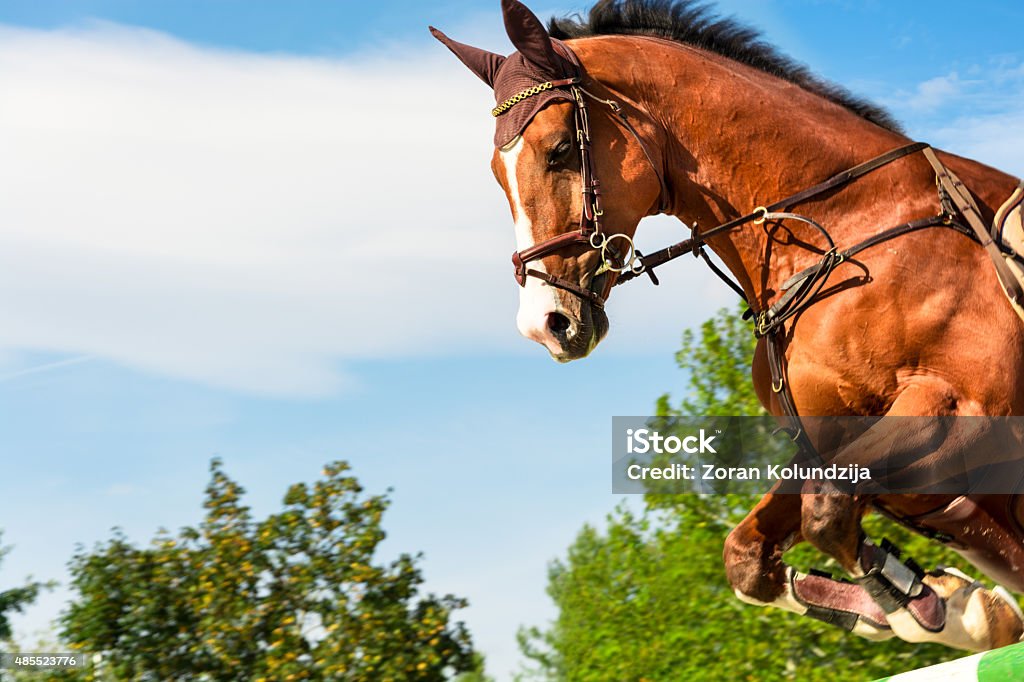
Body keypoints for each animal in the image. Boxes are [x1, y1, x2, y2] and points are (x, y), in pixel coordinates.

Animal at [430, 0, 1024, 647]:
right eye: (497, 173)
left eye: (560, 149)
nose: (545, 324)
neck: (842, 225)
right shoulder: (831, 444)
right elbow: (750, 555)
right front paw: (947, 603)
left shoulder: (965, 408)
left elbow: (827, 510)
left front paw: (940, 606)